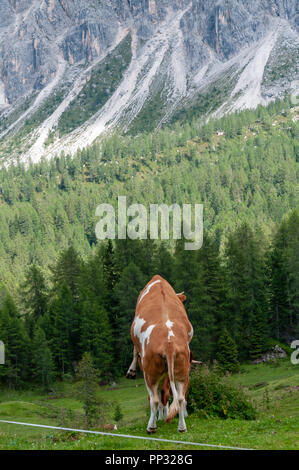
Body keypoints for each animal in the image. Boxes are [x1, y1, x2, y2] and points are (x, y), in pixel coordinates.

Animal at [125, 276, 193, 434]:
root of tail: (169, 344)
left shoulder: (136, 343)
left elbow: (134, 351)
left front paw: (131, 371)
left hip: (150, 374)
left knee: (154, 399)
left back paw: (151, 426)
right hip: (182, 371)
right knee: (180, 398)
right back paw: (182, 427)